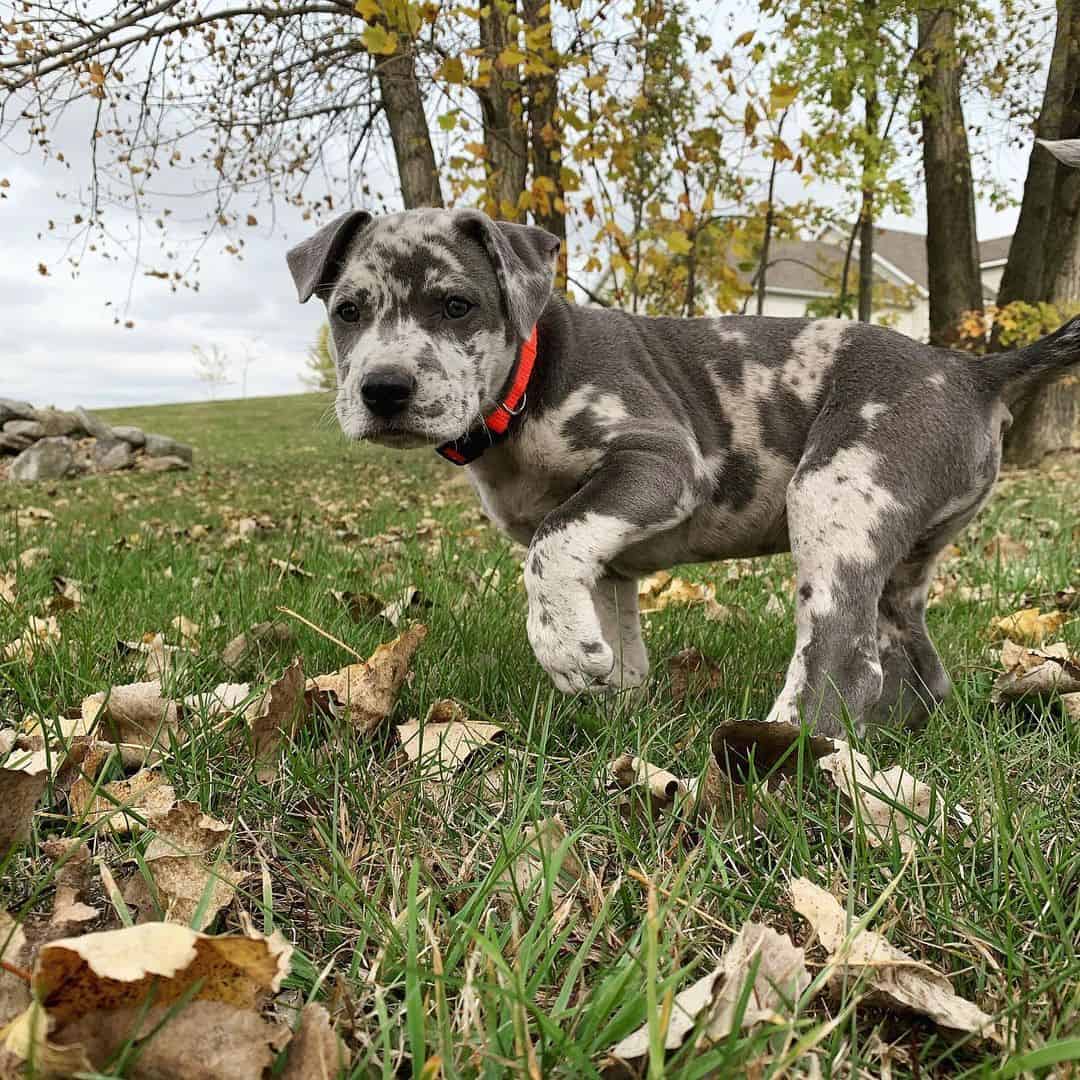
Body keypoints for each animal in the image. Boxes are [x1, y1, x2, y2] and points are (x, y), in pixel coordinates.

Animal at [287, 206, 1080, 738]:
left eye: (457, 305)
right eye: (348, 311)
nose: (383, 389)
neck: (529, 383)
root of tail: (973, 370)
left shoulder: (661, 461)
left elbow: (549, 545)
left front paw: (561, 650)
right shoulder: (610, 557)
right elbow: (614, 627)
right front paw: (610, 695)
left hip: (835, 496)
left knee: (840, 659)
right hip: (901, 561)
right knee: (917, 667)